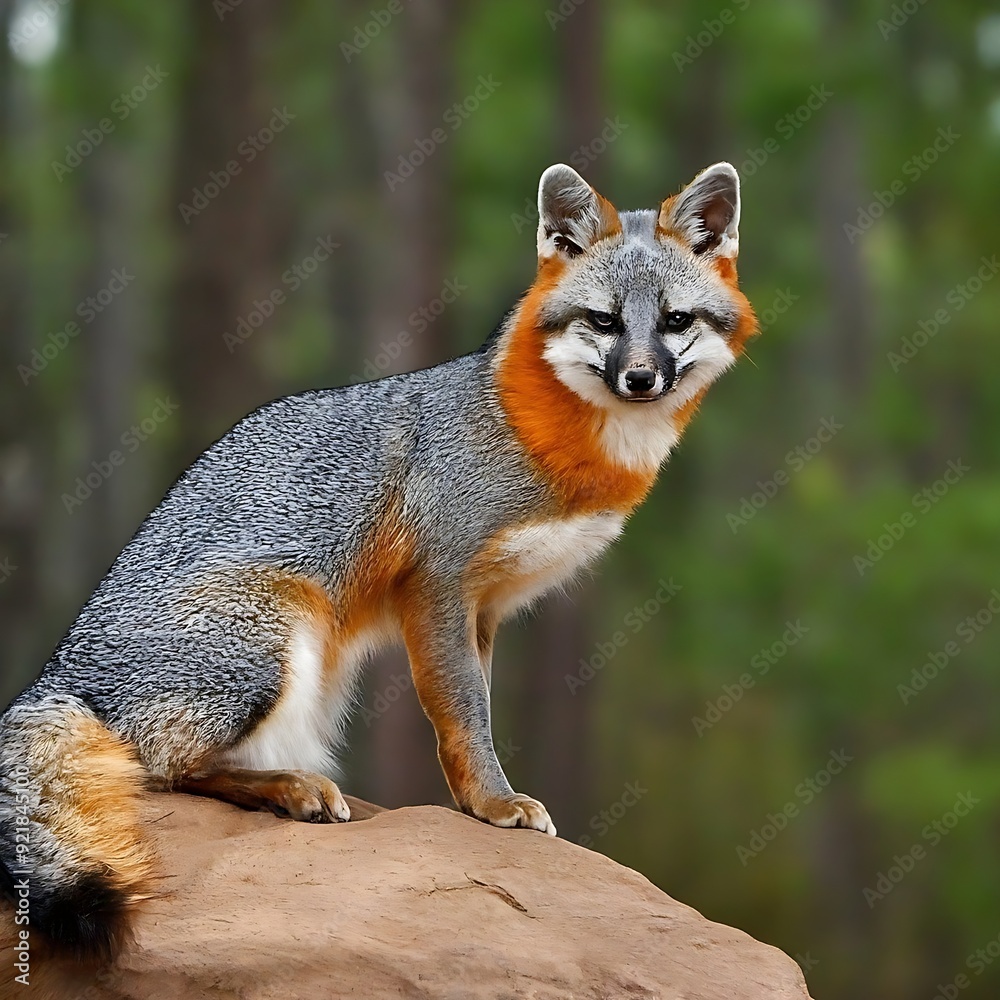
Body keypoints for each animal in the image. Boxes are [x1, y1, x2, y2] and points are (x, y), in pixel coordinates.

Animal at [0, 161, 756, 963]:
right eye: (605, 321)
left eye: (675, 321)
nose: (641, 378)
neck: (540, 437)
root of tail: (54, 675)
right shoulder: (438, 584)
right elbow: (464, 712)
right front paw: (492, 802)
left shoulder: (485, 608)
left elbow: (472, 710)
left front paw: (476, 799)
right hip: (280, 634)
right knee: (164, 767)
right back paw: (289, 788)